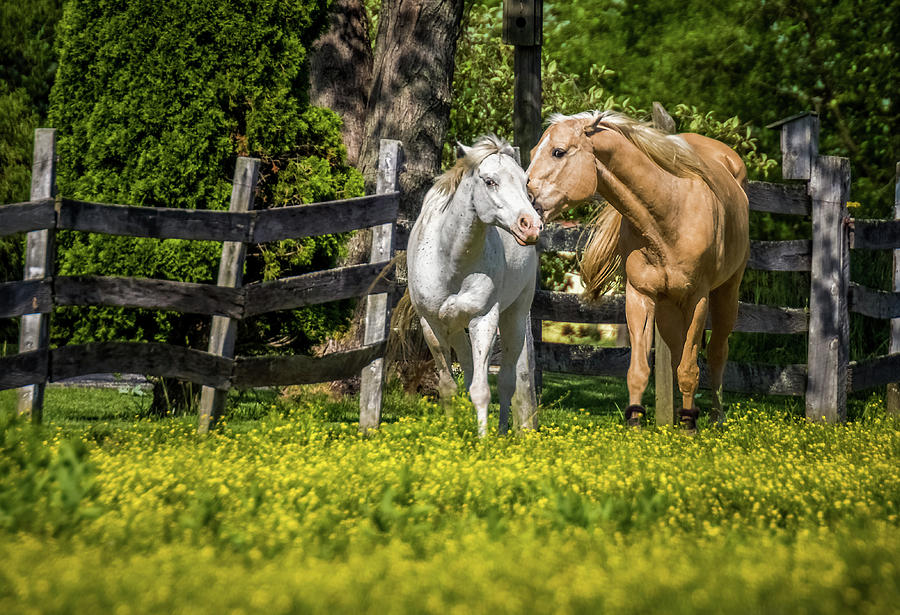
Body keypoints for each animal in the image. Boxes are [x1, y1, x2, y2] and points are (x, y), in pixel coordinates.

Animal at [408, 134, 540, 438]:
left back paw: (501, 431)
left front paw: (483, 441)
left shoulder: (484, 319)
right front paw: (450, 434)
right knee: (468, 369)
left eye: (524, 181)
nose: (531, 225)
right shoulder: (431, 325)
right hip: (456, 327)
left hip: (514, 317)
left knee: (506, 380)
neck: (450, 259)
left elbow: (481, 389)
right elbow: (448, 386)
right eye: (490, 181)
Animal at [524, 110, 748, 430]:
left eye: (558, 152)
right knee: (677, 356)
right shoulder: (640, 295)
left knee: (717, 353)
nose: (524, 203)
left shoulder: (698, 299)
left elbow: (691, 369)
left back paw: (715, 419)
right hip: (668, 308)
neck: (669, 212)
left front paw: (690, 429)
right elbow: (640, 369)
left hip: (726, 294)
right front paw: (636, 424)